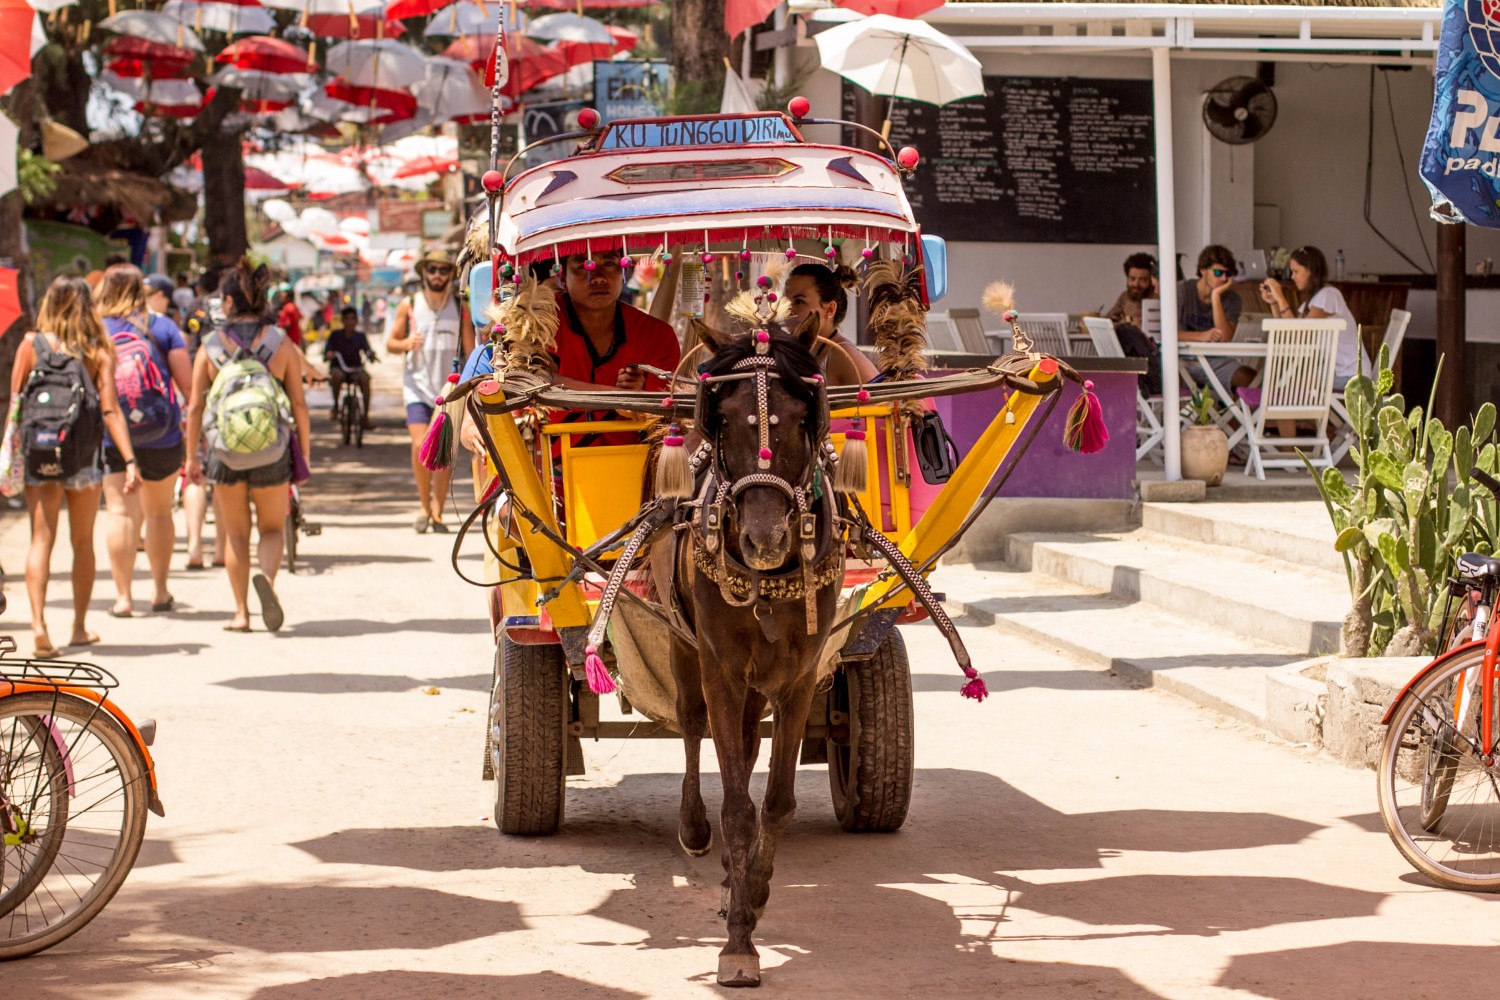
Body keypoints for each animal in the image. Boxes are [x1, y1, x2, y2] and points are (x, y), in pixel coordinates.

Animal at [660, 316, 846, 989]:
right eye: (724, 418)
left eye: (799, 417)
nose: (763, 538)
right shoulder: (719, 669)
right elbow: (738, 808)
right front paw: (739, 944)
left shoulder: (800, 676)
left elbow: (779, 801)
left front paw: (755, 893)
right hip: (683, 647)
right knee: (693, 730)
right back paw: (694, 829)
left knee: (743, 739)